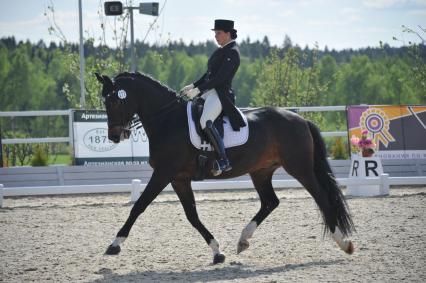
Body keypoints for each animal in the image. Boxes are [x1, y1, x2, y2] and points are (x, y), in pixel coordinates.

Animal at [95, 72, 354, 266]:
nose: (115, 136)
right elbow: (192, 215)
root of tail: (300, 120)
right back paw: (243, 240)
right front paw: (217, 252)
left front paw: (114, 245)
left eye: (115, 100)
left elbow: (139, 206)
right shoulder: (178, 178)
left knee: (321, 197)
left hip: (299, 168)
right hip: (261, 171)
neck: (167, 120)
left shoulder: (163, 173)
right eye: (104, 101)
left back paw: (344, 243)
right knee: (270, 202)